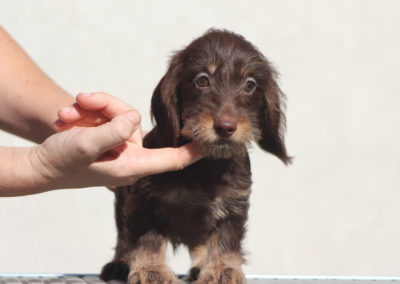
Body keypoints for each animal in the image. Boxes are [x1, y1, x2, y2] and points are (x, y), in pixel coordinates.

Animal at [100, 30, 290, 282]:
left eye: (250, 84)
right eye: (202, 80)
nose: (225, 127)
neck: (206, 165)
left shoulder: (234, 204)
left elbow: (225, 240)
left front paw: (224, 269)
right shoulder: (144, 201)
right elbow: (148, 240)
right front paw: (150, 269)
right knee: (123, 237)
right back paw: (119, 263)